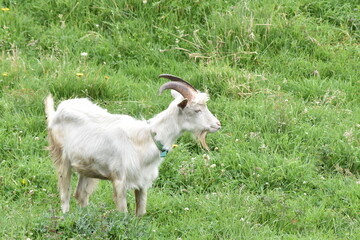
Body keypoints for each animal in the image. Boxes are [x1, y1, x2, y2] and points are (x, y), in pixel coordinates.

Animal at [44, 74, 221, 217]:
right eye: (197, 110)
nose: (217, 124)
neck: (146, 139)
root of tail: (56, 111)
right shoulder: (119, 180)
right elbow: (123, 212)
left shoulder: (142, 182)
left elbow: (140, 212)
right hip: (62, 157)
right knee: (65, 194)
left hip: (87, 167)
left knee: (80, 194)